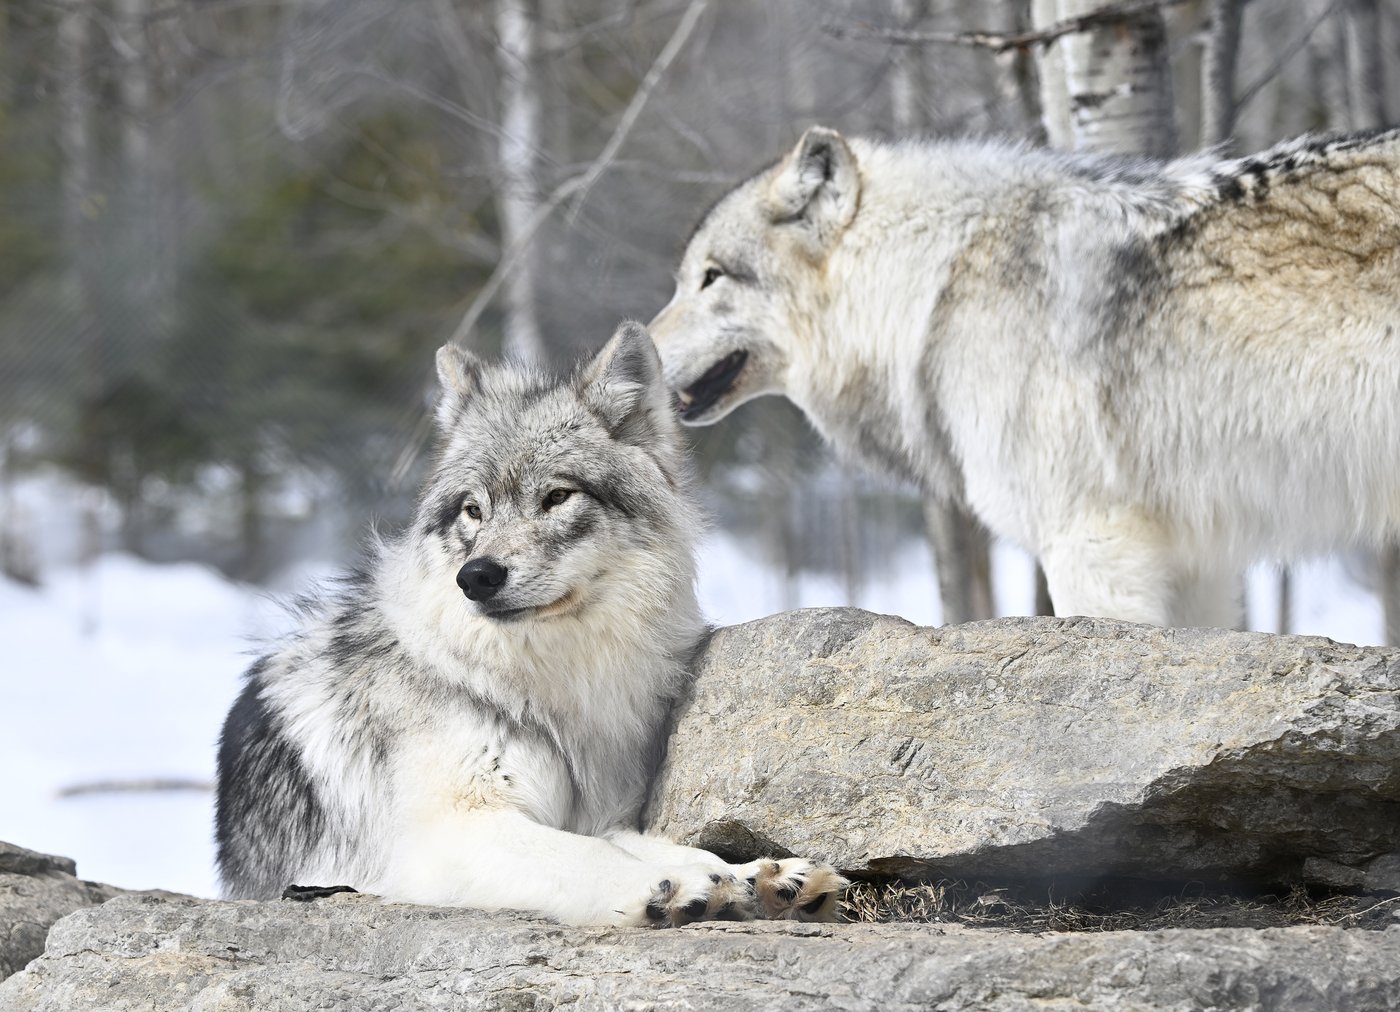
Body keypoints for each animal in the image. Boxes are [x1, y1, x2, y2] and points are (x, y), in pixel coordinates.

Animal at [215, 322, 845, 926]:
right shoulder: (453, 831)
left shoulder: (599, 810)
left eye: (558, 496)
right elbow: (597, 855)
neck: (548, 684)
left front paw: (759, 874)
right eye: (473, 510)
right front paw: (680, 888)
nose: (476, 576)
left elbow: (658, 844)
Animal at [650, 126, 1400, 628]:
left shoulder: (1089, 542)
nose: (639, 351)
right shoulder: (1196, 562)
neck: (932, 285)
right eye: (683, 279)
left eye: (711, 278)